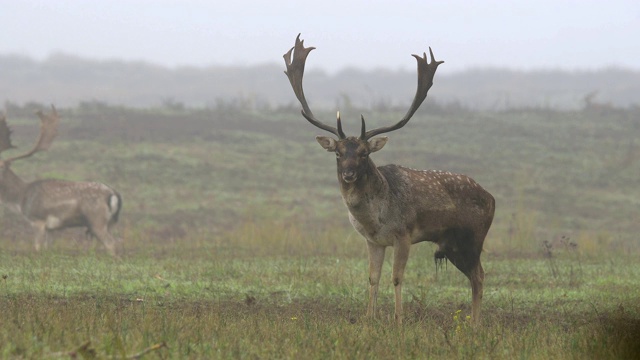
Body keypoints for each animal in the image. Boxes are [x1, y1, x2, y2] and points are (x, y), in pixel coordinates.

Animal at [0, 105, 122, 258]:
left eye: (1, 167)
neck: (20, 198)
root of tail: (113, 194)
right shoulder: (51, 228)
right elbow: (48, 248)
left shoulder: (38, 220)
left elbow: (37, 247)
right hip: (111, 222)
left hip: (96, 220)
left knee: (112, 244)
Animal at [282, 35, 498, 324]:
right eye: (338, 153)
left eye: (364, 153)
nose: (349, 173)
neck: (375, 219)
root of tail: (492, 198)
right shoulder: (372, 240)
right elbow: (373, 278)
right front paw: (368, 320)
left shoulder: (403, 234)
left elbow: (396, 278)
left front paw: (398, 320)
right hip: (451, 244)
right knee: (476, 275)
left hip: (473, 236)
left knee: (480, 276)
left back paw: (475, 325)